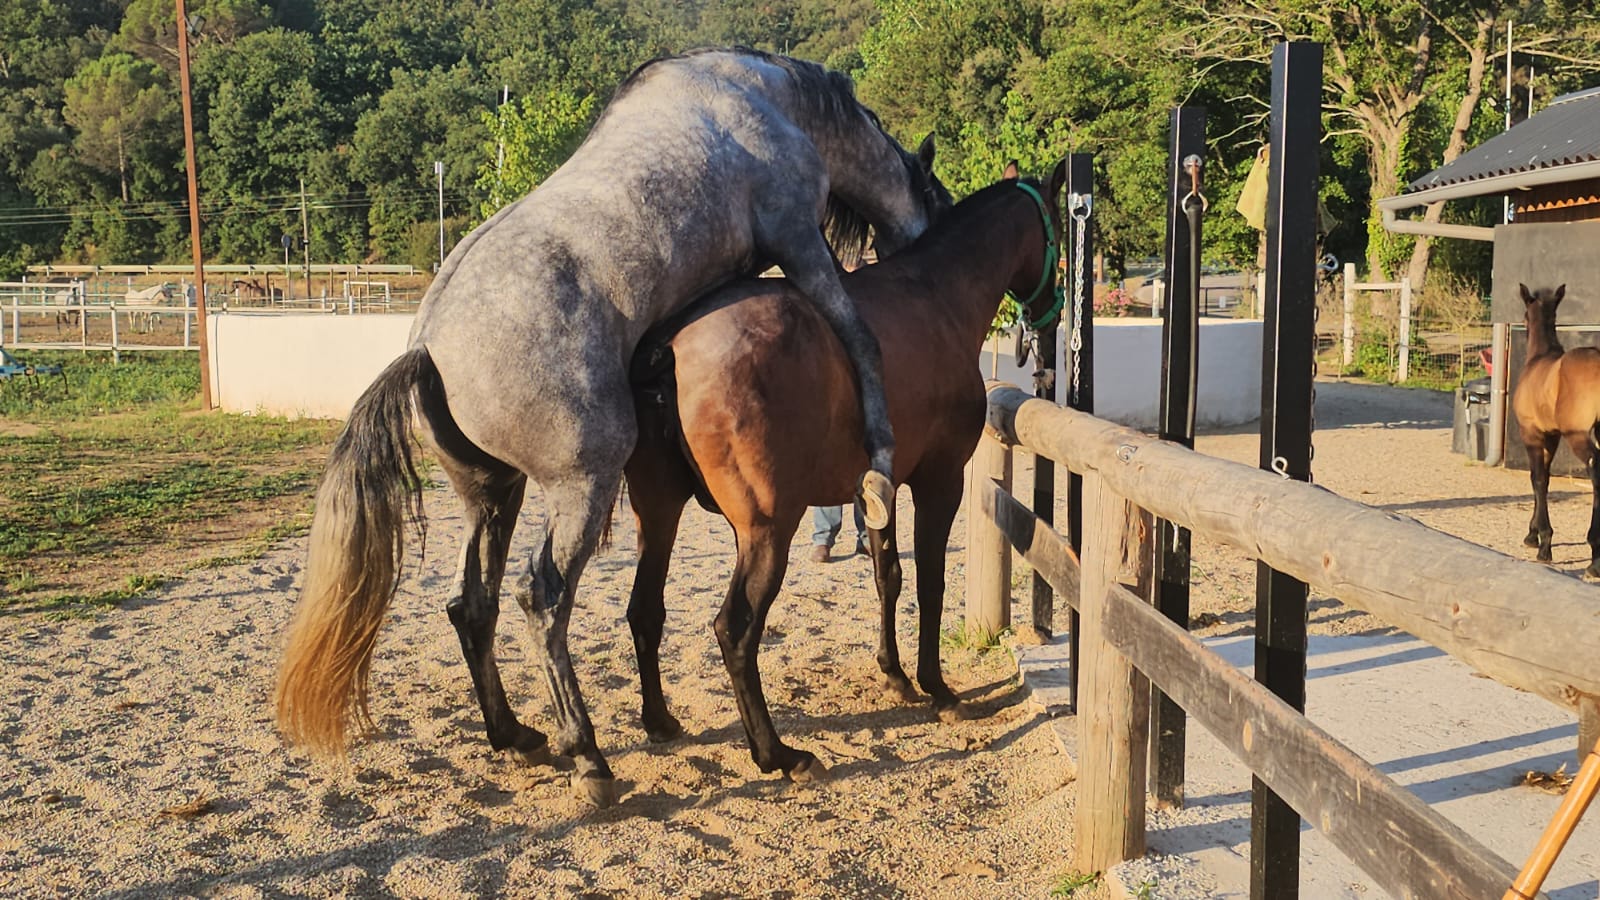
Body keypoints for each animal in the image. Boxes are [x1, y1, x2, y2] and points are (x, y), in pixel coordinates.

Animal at [273, 47, 951, 807]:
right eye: (937, 196)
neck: (766, 96)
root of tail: (429, 347)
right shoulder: (798, 237)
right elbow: (860, 337)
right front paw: (878, 462)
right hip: (581, 487)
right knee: (540, 599)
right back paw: (588, 756)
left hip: (493, 497)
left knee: (472, 605)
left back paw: (517, 736)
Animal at [622, 161, 1067, 781]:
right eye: (1061, 230)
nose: (1053, 311)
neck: (936, 295)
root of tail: (674, 343)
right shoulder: (940, 481)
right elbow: (929, 582)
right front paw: (936, 686)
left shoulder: (876, 489)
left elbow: (888, 576)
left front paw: (895, 674)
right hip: (766, 529)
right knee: (735, 629)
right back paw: (776, 753)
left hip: (659, 515)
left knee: (645, 611)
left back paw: (662, 721)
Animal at [1510, 283, 1600, 578]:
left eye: (1524, 316)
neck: (1539, 360)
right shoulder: (1552, 436)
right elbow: (1544, 478)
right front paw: (1533, 534)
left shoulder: (1532, 434)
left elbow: (1537, 479)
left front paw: (1543, 542)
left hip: (1578, 435)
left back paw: (1594, 558)